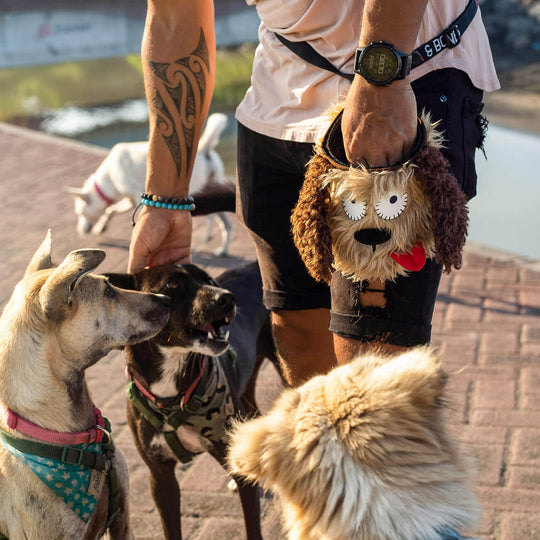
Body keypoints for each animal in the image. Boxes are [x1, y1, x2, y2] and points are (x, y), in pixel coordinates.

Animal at [65, 113, 232, 256]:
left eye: (80, 213)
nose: (80, 230)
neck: (109, 175)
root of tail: (204, 147)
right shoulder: (130, 200)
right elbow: (112, 210)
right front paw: (102, 227)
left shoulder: (137, 198)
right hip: (214, 193)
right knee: (226, 224)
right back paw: (222, 250)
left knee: (211, 219)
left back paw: (205, 239)